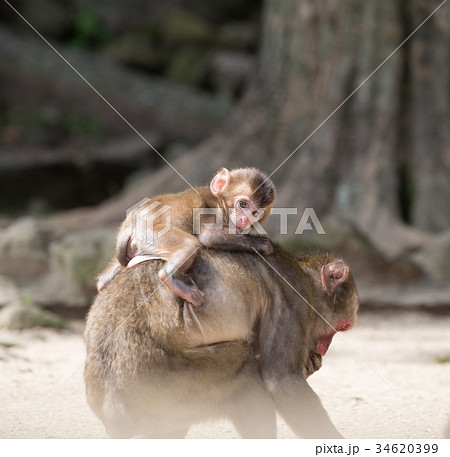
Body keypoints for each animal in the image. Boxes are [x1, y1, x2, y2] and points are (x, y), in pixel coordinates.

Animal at [84, 246, 358, 438]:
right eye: (341, 327)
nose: (324, 348)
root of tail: (110, 399)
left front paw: (310, 363)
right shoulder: (294, 296)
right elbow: (281, 382)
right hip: (165, 383)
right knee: (245, 372)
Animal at [96, 167, 276, 306]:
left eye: (255, 213)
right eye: (243, 204)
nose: (244, 221)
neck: (220, 201)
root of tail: (130, 226)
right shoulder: (212, 210)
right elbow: (209, 237)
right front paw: (262, 243)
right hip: (151, 232)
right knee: (190, 244)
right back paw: (171, 278)